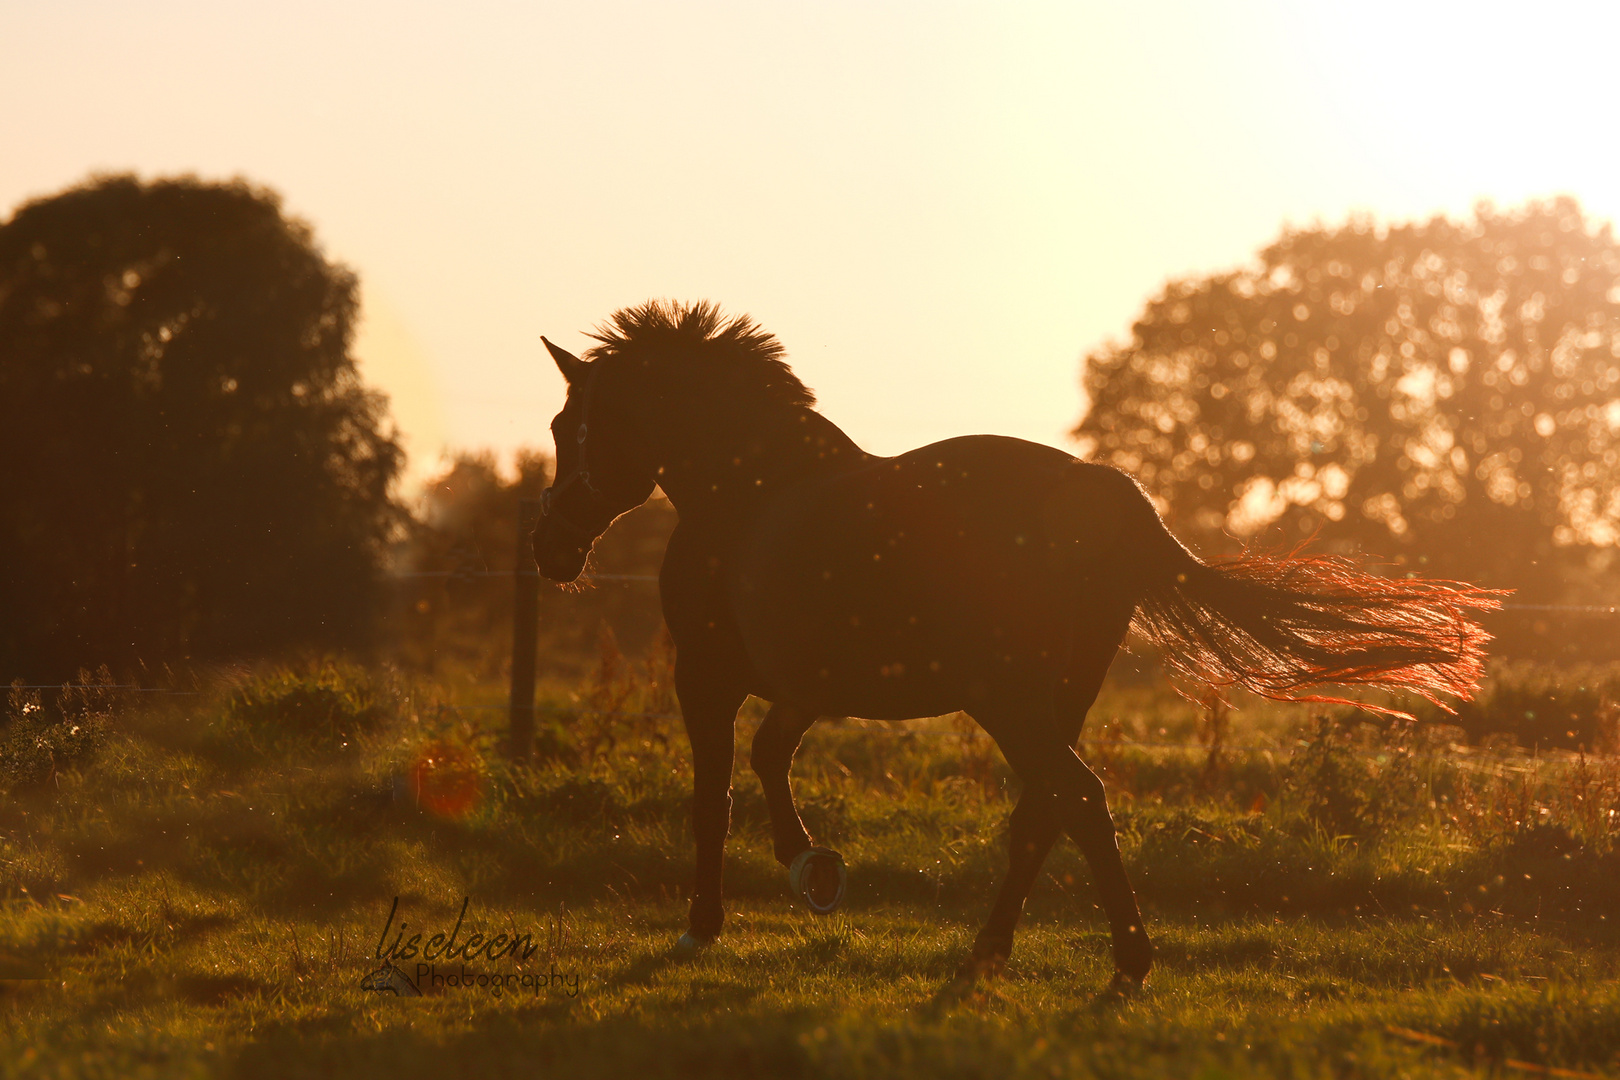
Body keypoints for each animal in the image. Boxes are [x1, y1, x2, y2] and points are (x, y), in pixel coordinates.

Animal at [528, 299, 1490, 990]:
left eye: (572, 428)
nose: (551, 549)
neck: (748, 493)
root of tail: (1103, 493)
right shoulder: (807, 683)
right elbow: (769, 761)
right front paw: (816, 872)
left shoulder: (709, 675)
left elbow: (714, 797)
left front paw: (706, 924)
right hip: (1056, 695)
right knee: (1047, 811)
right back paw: (993, 949)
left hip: (1010, 698)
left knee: (1078, 799)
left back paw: (1125, 962)